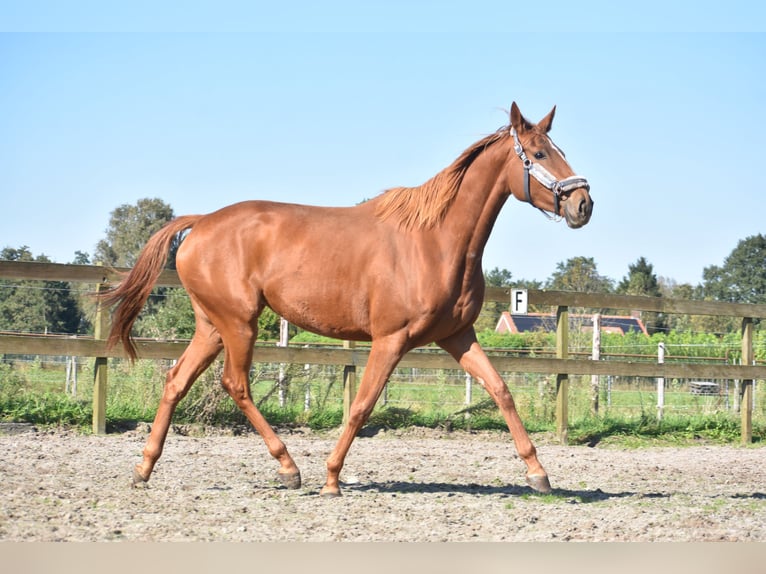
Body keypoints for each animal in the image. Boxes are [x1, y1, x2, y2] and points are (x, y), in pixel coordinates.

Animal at [102, 101, 592, 498]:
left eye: (559, 147)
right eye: (541, 153)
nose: (583, 204)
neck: (435, 242)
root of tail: (201, 222)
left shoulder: (458, 336)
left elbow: (501, 391)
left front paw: (538, 474)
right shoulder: (391, 340)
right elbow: (361, 405)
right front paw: (332, 478)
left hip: (212, 327)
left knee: (176, 381)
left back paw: (144, 469)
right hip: (239, 324)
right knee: (235, 384)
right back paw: (289, 469)